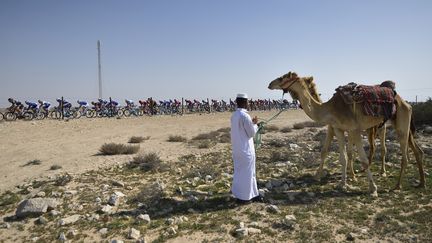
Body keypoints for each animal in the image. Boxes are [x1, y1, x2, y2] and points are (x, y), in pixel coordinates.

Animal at [266, 70, 426, 196]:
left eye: (283, 77)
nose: (270, 84)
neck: (330, 109)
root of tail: (406, 102)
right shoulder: (338, 129)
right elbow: (342, 157)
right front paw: (343, 184)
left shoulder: (354, 129)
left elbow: (361, 158)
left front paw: (373, 188)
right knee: (415, 151)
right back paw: (421, 183)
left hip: (400, 123)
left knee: (403, 155)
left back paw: (397, 185)